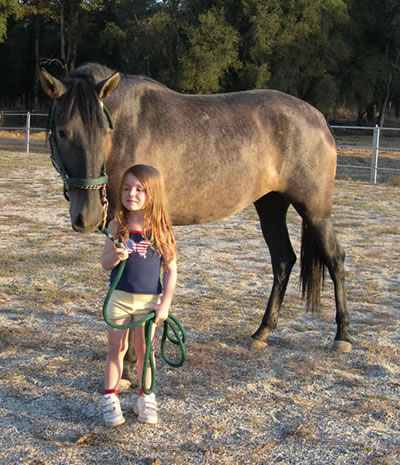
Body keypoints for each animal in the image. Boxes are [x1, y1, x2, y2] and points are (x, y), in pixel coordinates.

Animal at [40, 61, 352, 352]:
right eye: (62, 132)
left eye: (105, 131)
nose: (87, 215)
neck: (128, 130)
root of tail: (319, 119)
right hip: (271, 206)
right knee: (283, 260)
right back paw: (262, 331)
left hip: (315, 212)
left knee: (335, 259)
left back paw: (342, 336)